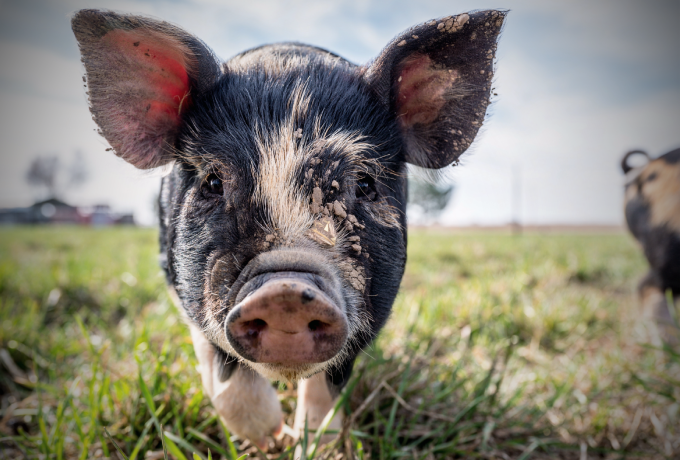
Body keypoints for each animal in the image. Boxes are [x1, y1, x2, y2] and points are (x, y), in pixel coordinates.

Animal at [71, 9, 508, 450]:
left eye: (365, 183)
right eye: (213, 180)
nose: (285, 293)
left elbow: (327, 390)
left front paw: (313, 443)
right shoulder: (181, 285)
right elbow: (224, 378)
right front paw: (272, 439)